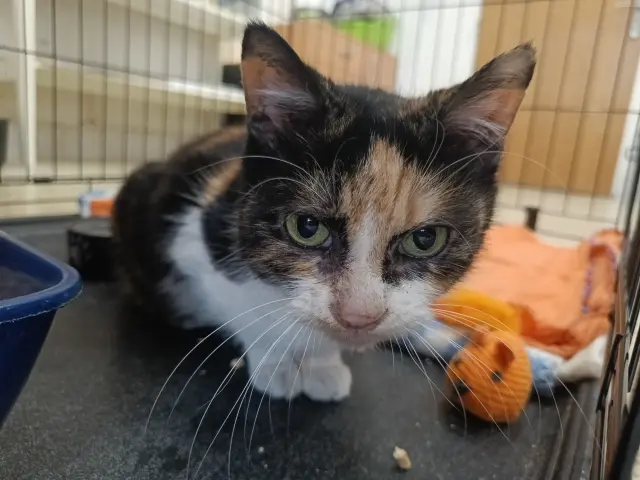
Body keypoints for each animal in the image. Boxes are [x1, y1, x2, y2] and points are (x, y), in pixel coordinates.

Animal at [112, 21, 535, 402]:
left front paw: (322, 363)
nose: (359, 316)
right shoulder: (195, 236)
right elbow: (244, 305)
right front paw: (278, 360)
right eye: (307, 227)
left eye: (425, 239)